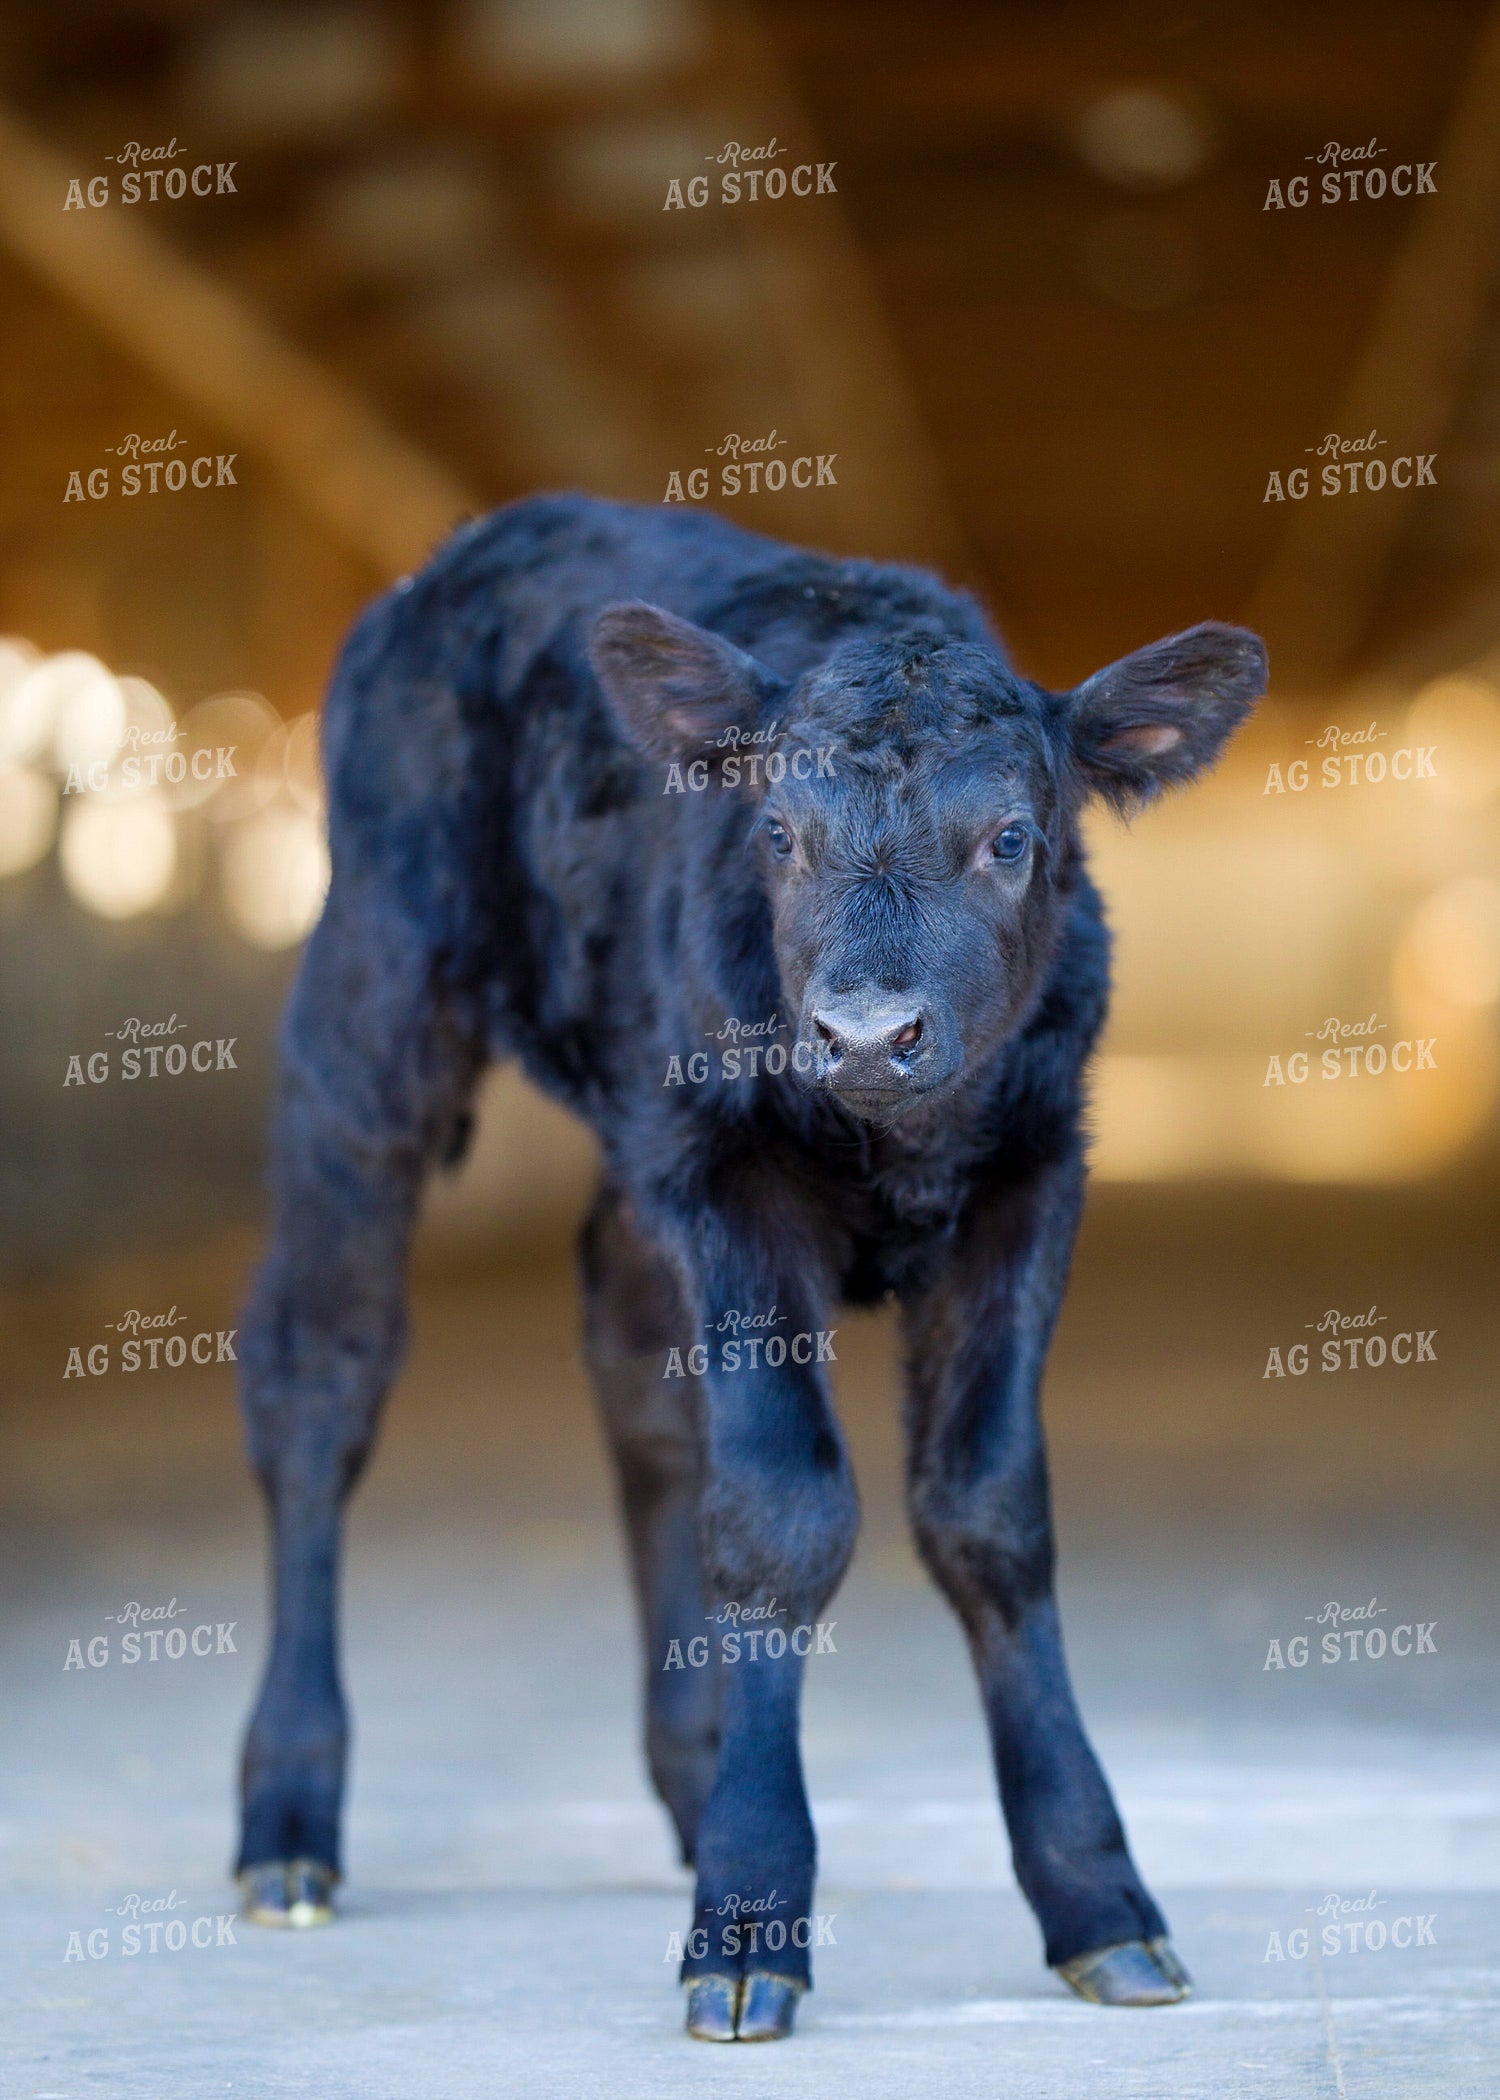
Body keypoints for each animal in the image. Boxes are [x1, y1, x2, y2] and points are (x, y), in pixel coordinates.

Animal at [233, 492, 1265, 2042]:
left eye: (1010, 837)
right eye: (777, 831)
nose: (862, 1033)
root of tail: (475, 544)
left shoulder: (1034, 1168)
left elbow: (990, 1516)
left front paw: (1098, 1899)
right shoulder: (728, 1171)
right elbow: (783, 1513)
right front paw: (750, 1920)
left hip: (626, 1115)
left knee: (637, 1382)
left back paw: (696, 1764)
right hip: (369, 1007)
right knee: (320, 1374)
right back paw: (289, 1820)